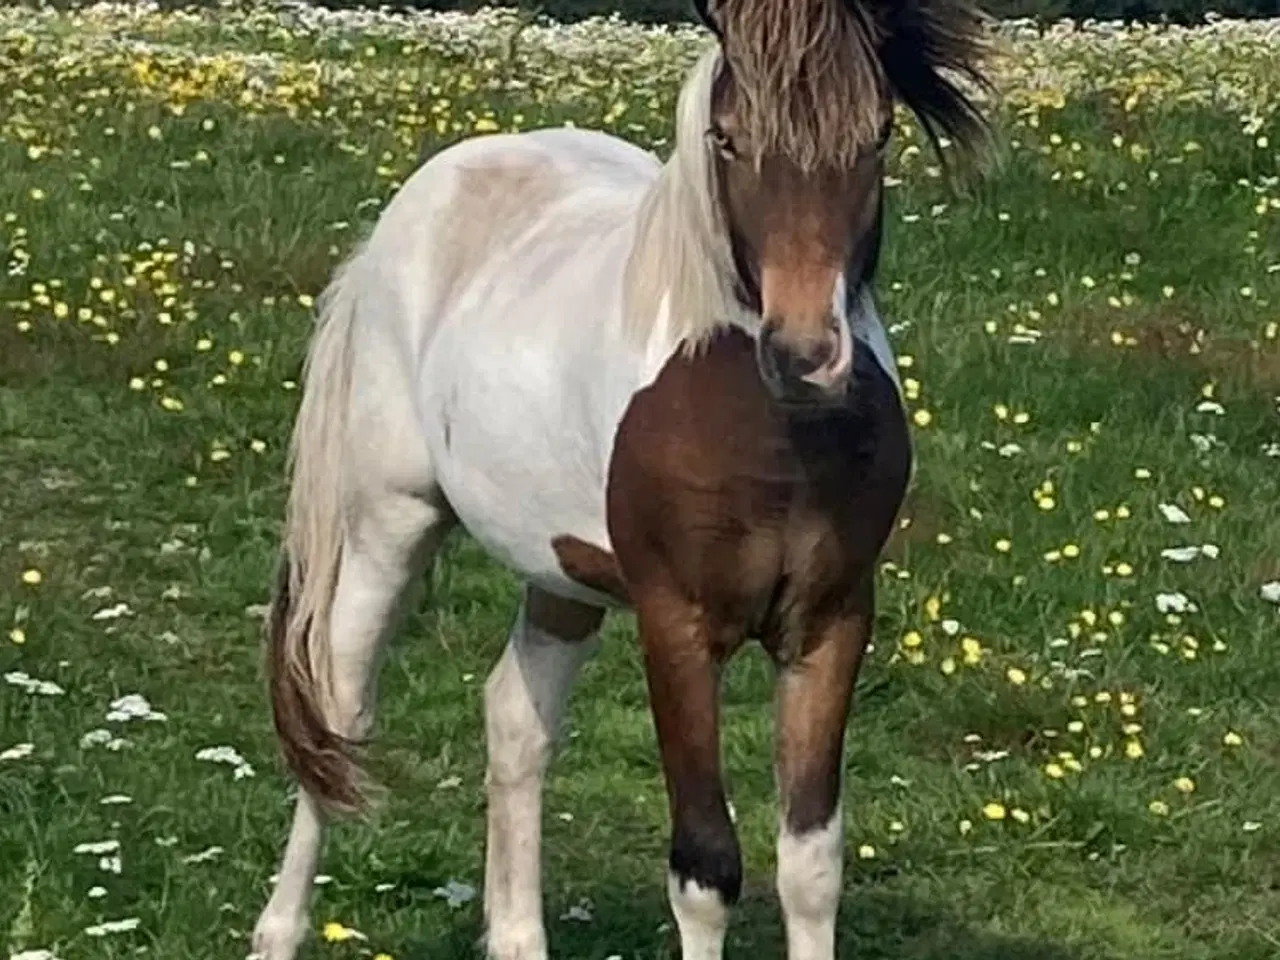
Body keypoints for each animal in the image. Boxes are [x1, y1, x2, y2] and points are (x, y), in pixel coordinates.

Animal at [247, 1, 988, 960]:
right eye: (727, 138)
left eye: (879, 135)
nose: (804, 355)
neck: (769, 439)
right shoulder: (676, 625)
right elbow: (706, 869)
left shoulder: (829, 624)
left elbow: (811, 864)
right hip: (389, 526)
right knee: (338, 715)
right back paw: (278, 929)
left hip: (563, 574)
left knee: (515, 722)